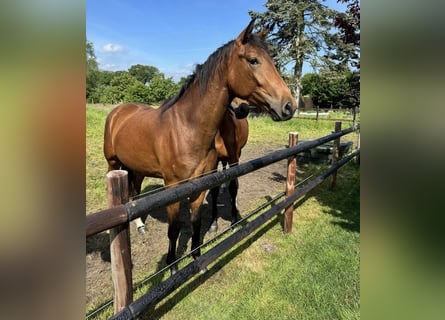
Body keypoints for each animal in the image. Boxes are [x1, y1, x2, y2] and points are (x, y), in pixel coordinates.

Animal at [104, 19, 296, 276]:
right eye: (253, 60)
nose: (289, 105)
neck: (187, 128)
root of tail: (119, 111)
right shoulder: (173, 187)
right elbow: (174, 228)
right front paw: (173, 267)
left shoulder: (201, 182)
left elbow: (196, 222)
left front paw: (197, 259)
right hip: (113, 163)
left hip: (136, 167)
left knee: (134, 191)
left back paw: (141, 225)